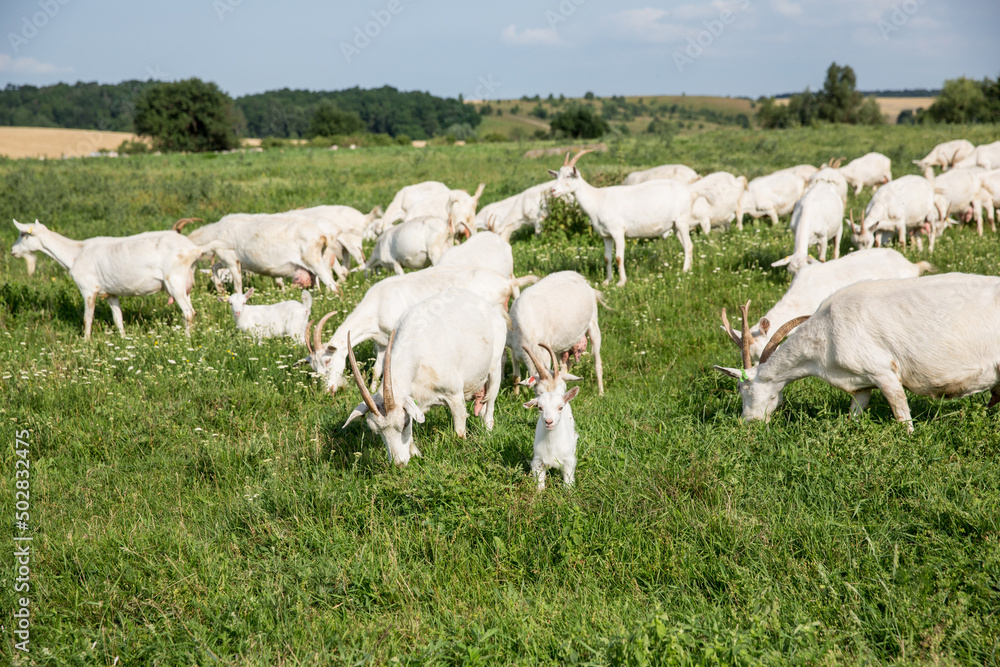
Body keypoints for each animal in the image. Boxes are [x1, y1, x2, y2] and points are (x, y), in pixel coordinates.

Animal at [12, 219, 200, 339]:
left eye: (23, 234)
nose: (13, 251)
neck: (75, 253)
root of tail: (193, 249)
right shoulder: (111, 292)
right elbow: (118, 319)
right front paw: (123, 340)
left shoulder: (88, 289)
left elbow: (87, 318)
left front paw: (86, 342)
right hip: (186, 285)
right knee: (192, 311)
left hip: (174, 281)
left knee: (188, 312)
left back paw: (186, 340)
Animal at [343, 288, 508, 465]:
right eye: (377, 431)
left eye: (404, 423)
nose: (398, 465)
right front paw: (416, 455)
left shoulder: (455, 395)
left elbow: (459, 431)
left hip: (495, 367)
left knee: (489, 407)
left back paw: (488, 434)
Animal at [520, 344, 580, 490]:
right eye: (540, 408)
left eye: (560, 407)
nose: (549, 421)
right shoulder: (538, 461)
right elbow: (540, 483)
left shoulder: (568, 461)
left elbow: (568, 481)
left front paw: (569, 492)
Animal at [716, 273, 1000, 432]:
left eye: (742, 389)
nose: (747, 423)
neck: (826, 332)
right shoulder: (860, 383)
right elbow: (855, 413)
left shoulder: (883, 370)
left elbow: (901, 413)